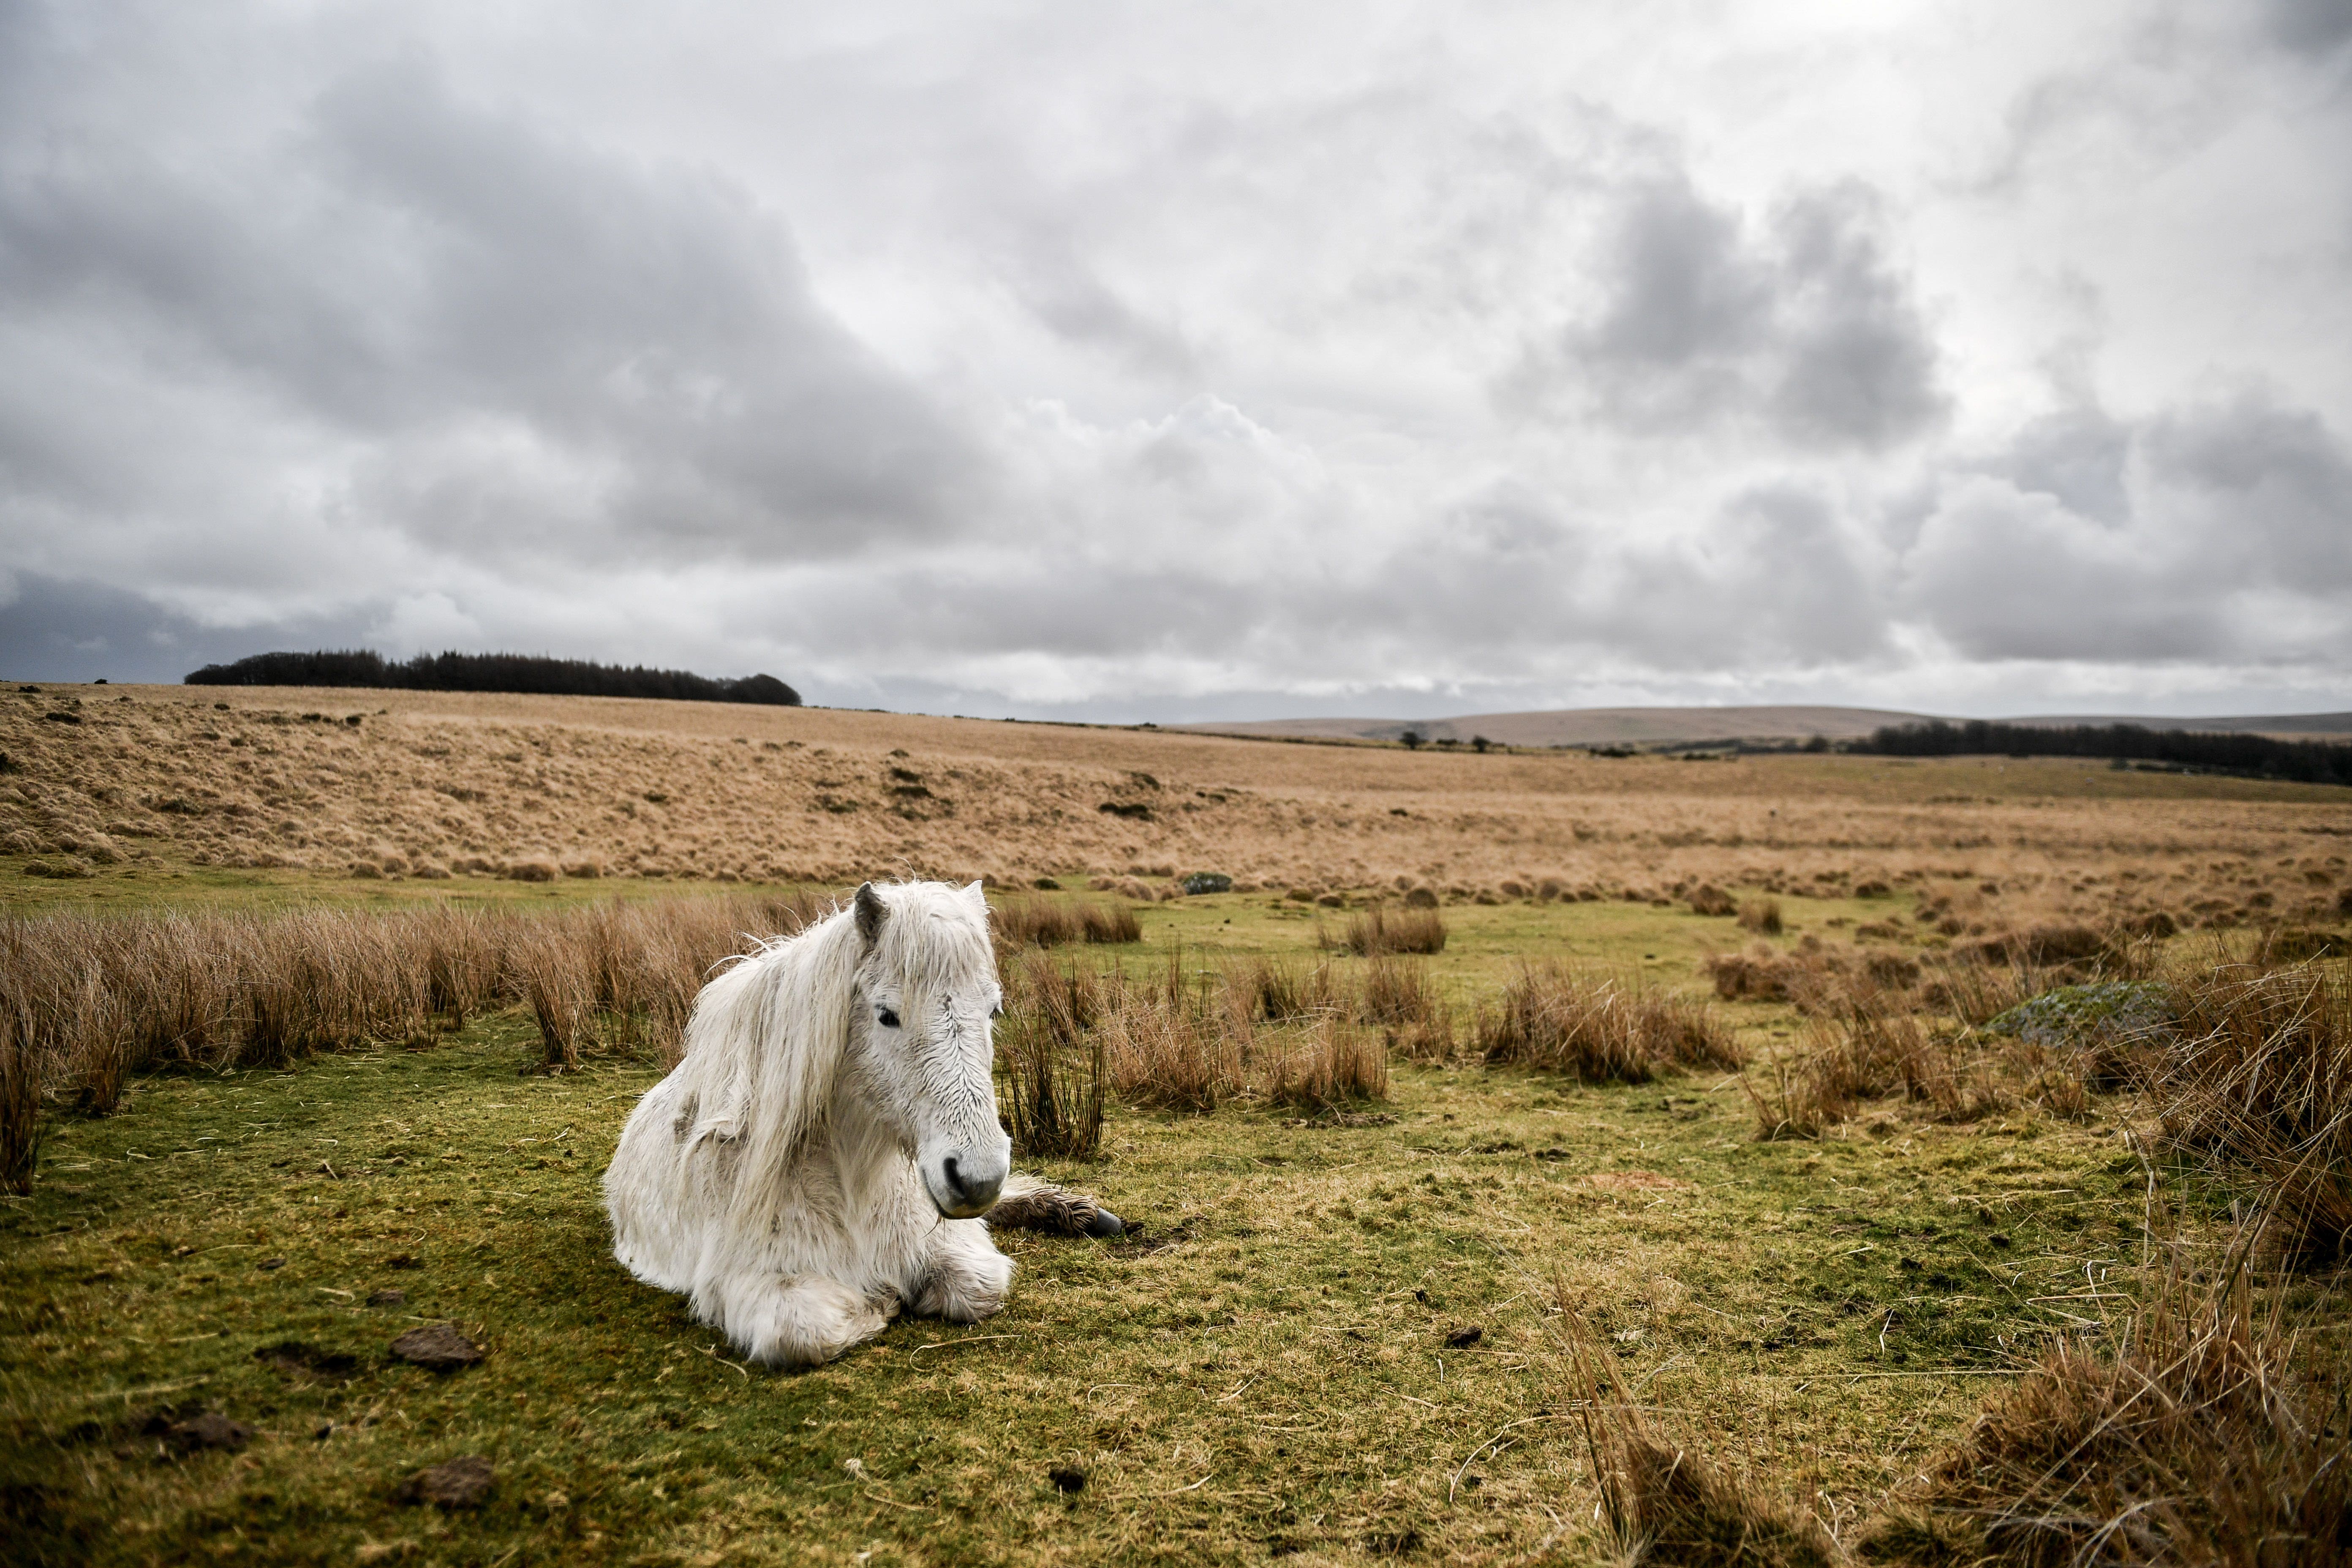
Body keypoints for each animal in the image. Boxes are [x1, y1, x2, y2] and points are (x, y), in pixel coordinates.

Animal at [607, 879, 1119, 1363]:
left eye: (993, 1010)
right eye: (887, 1015)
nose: (978, 1179)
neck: (848, 1179)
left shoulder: (943, 1240)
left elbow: (978, 1285)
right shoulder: (753, 1281)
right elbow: (808, 1331)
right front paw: (881, 1304)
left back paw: (1072, 1210)